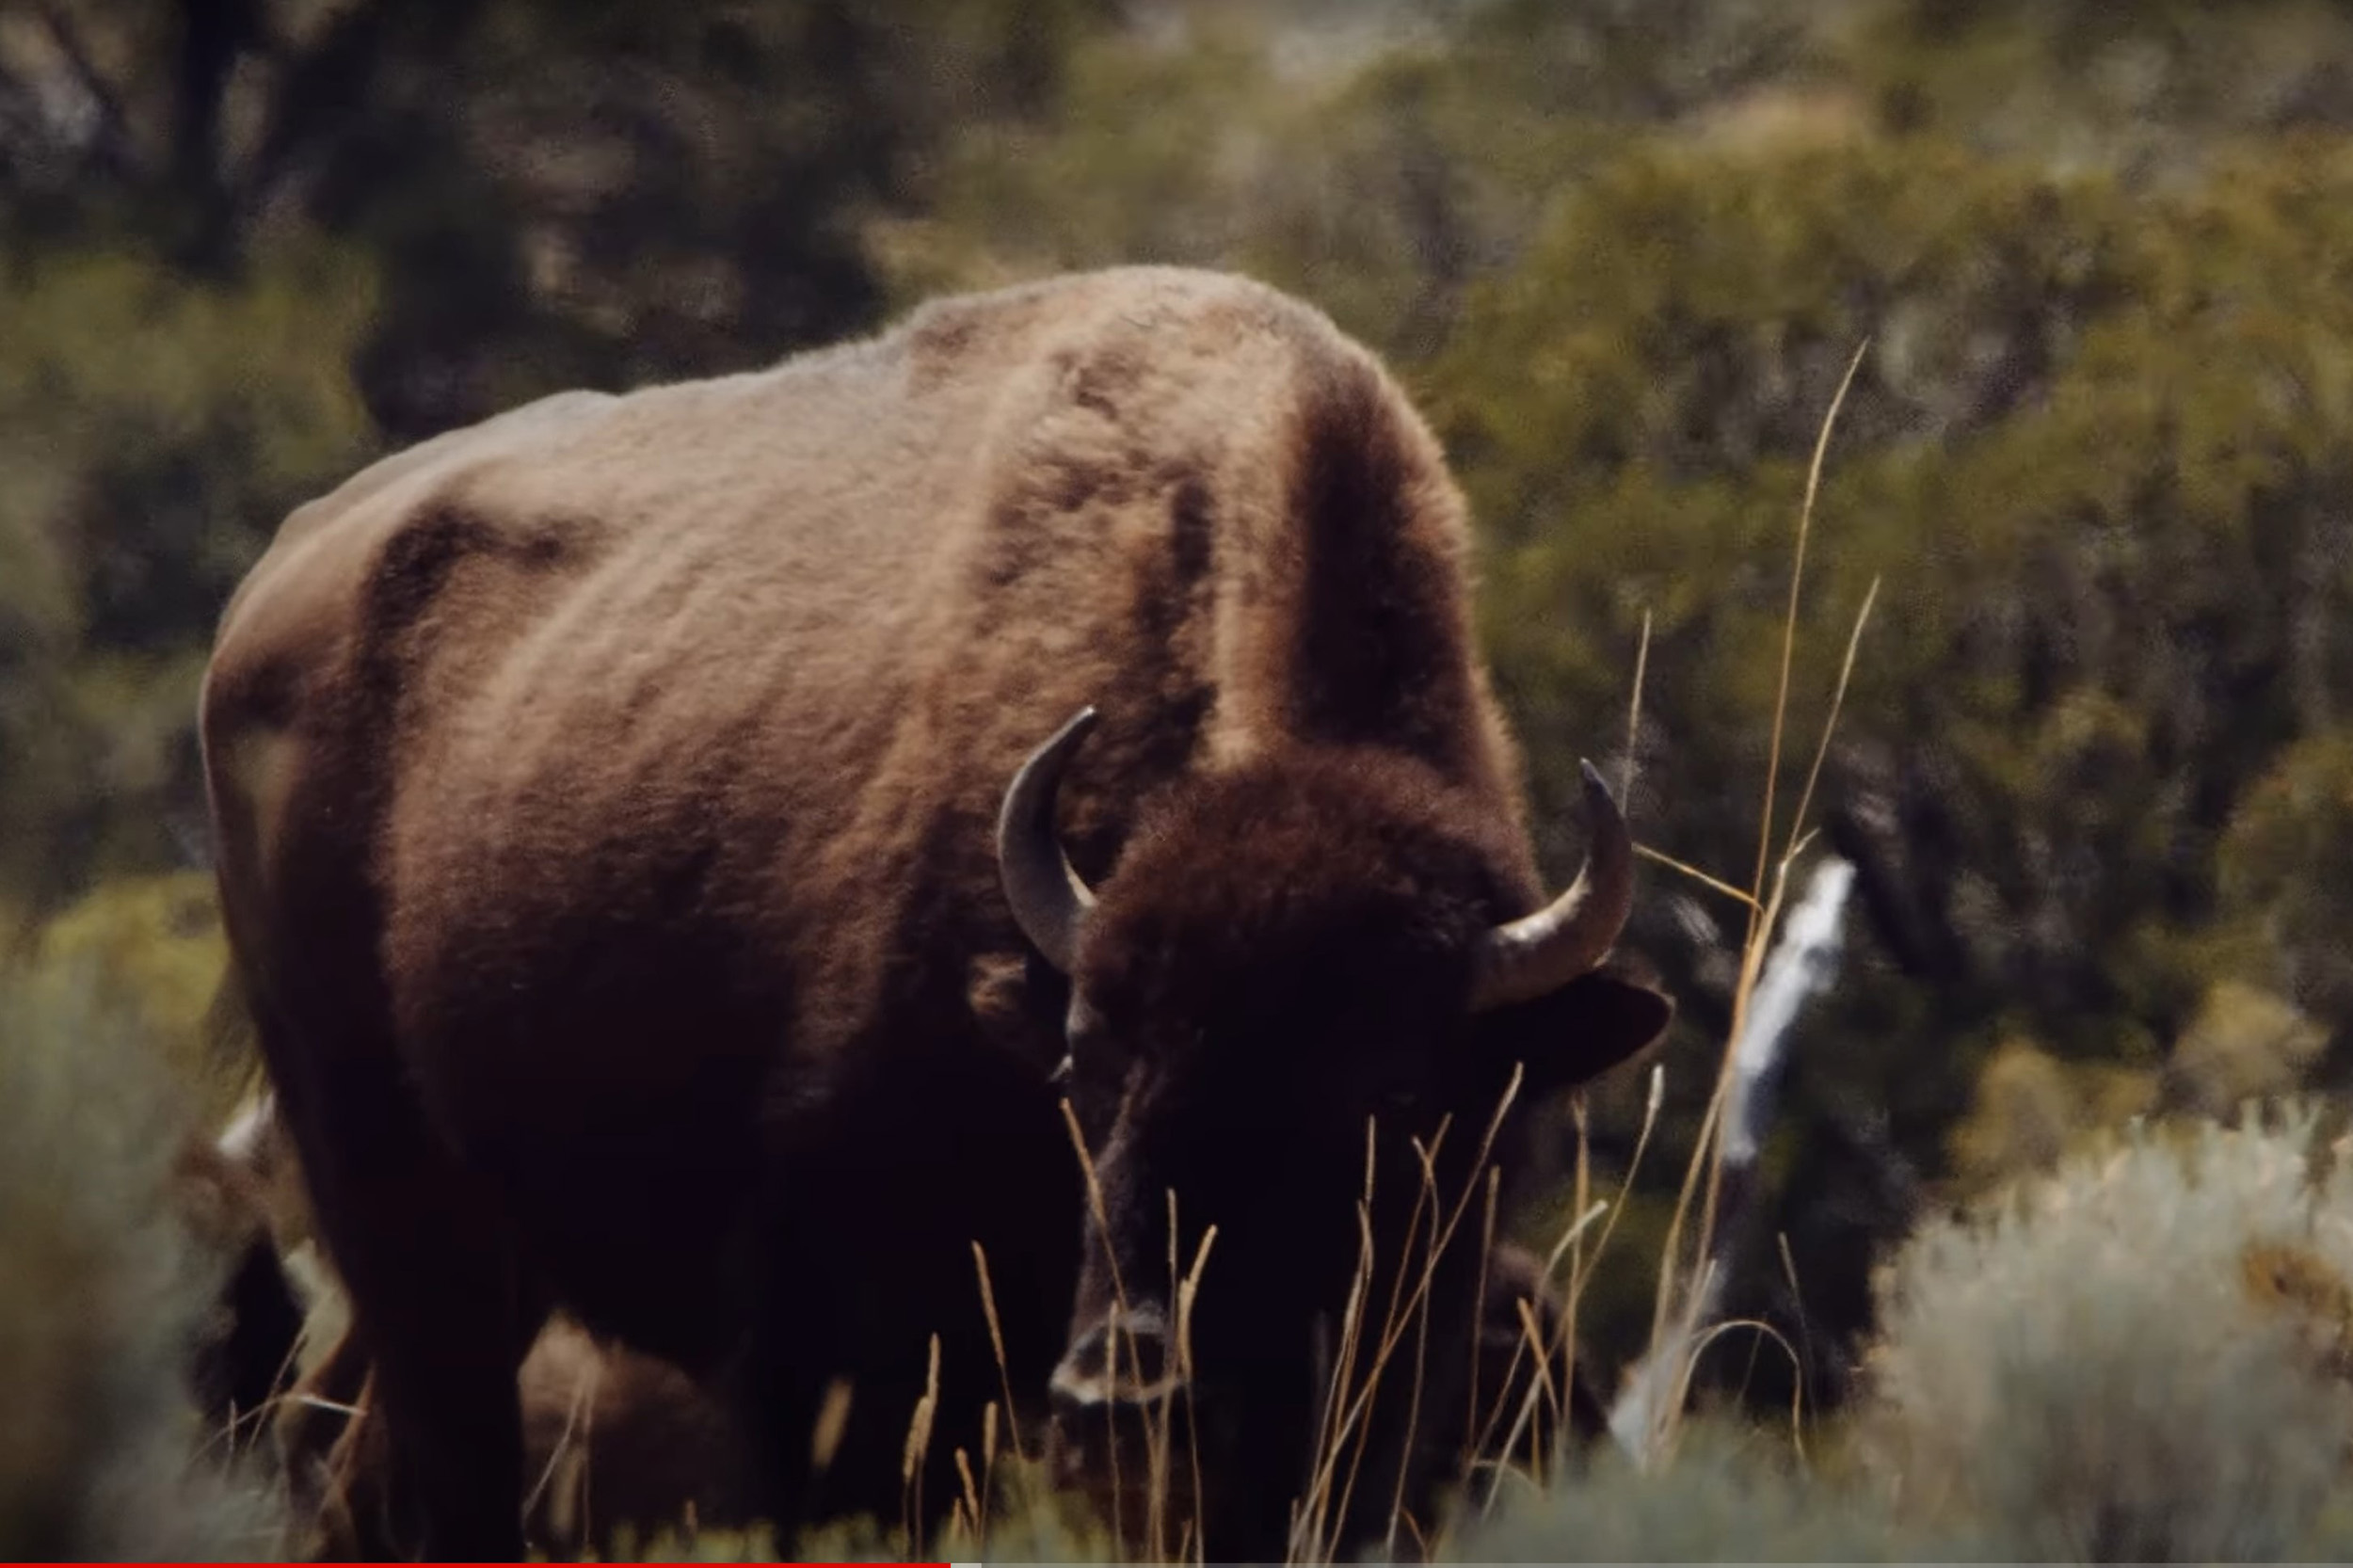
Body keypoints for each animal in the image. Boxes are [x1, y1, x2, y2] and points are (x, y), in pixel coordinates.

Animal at [198, 265, 1670, 1560]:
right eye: (1083, 1068)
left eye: (1399, 1094)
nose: (1129, 1404)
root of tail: (277, 579)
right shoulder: (842, 1354)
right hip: (394, 1201)